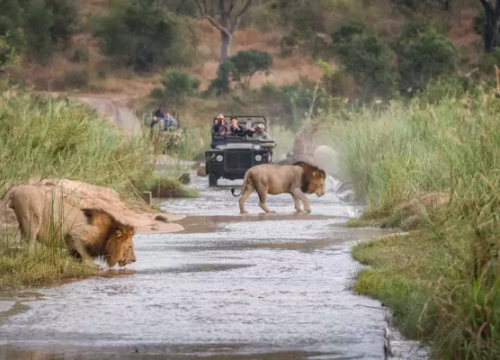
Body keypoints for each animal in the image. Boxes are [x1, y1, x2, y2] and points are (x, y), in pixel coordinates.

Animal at [3, 187, 138, 268]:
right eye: (130, 247)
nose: (134, 260)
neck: (107, 234)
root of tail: (15, 189)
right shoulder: (76, 234)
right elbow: (86, 254)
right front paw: (94, 266)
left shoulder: (72, 244)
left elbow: (76, 254)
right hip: (32, 220)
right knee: (28, 244)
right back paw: (33, 258)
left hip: (23, 224)